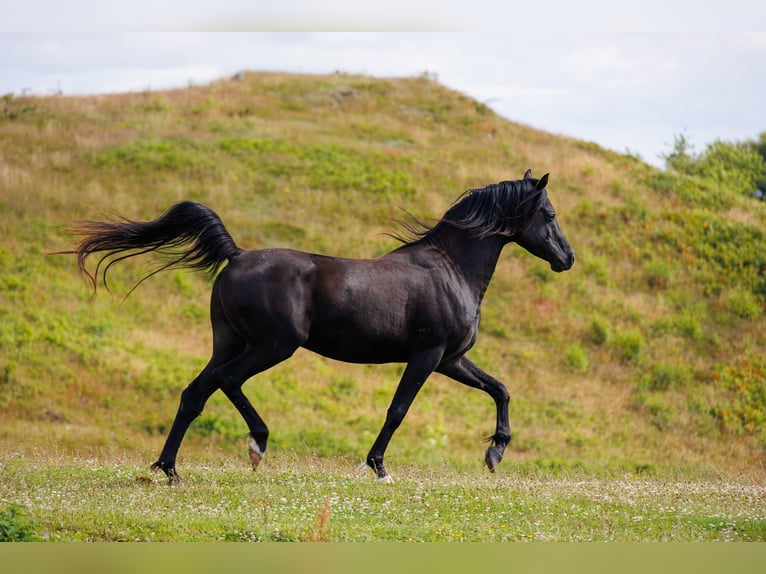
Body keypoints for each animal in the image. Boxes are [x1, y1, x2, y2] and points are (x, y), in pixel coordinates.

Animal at [66, 169, 574, 484]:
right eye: (549, 215)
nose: (567, 258)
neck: (450, 268)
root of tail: (236, 255)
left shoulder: (452, 359)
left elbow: (500, 389)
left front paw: (495, 453)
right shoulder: (427, 356)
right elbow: (398, 410)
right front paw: (379, 468)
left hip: (229, 342)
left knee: (195, 394)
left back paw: (170, 469)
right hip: (273, 346)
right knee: (227, 382)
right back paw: (257, 445)